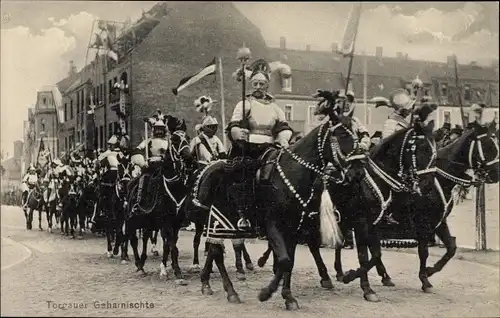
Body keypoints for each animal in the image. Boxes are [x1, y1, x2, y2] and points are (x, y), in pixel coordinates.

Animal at [122, 115, 192, 284]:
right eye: (174, 140)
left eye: (187, 138)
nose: (189, 158)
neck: (173, 187)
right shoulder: (165, 222)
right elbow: (172, 246)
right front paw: (176, 272)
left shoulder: (175, 223)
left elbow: (169, 245)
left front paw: (166, 268)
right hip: (132, 220)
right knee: (133, 240)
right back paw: (139, 266)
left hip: (148, 222)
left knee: (146, 238)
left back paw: (143, 260)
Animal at [191, 90, 368, 310]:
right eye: (343, 135)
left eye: (358, 134)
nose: (358, 172)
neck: (292, 174)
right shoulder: (273, 224)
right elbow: (283, 260)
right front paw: (266, 293)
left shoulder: (292, 228)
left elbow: (288, 262)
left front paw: (287, 296)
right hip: (219, 221)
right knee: (216, 252)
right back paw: (230, 291)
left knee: (215, 252)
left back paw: (207, 283)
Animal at [358, 121, 498, 294]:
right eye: (487, 146)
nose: (497, 174)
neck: (440, 179)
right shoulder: (423, 224)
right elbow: (423, 252)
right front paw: (425, 279)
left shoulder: (439, 222)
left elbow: (451, 248)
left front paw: (430, 271)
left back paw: (385, 276)